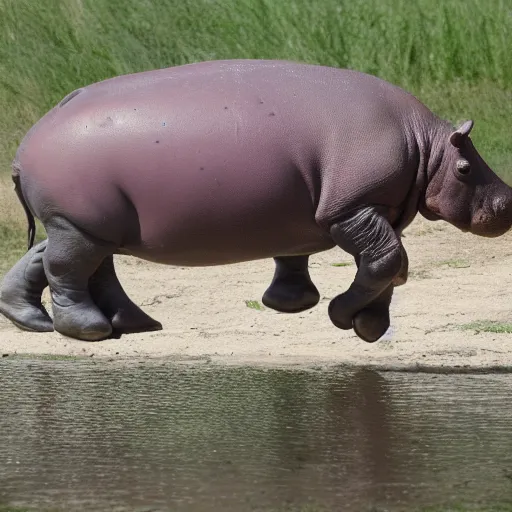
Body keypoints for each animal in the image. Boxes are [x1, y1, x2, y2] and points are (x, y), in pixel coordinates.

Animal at [1, 59, 512, 340]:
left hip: (88, 225)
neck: (425, 145)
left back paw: (101, 324)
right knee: (67, 270)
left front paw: (344, 320)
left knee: (62, 262)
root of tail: (22, 151)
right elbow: (389, 261)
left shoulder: (340, 212)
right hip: (81, 223)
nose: (508, 201)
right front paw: (344, 317)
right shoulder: (353, 207)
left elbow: (384, 266)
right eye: (465, 168)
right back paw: (90, 330)